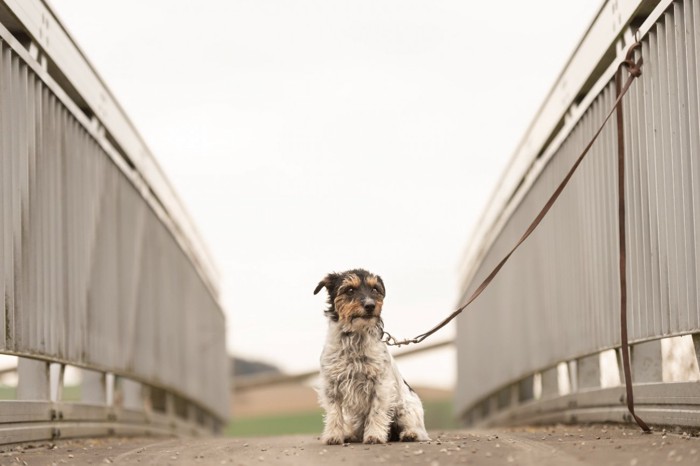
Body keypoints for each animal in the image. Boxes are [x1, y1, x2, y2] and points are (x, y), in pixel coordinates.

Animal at [314, 270, 430, 444]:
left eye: (375, 289)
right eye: (350, 290)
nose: (370, 305)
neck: (354, 339)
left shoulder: (381, 385)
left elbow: (376, 412)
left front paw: (374, 435)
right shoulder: (331, 385)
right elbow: (335, 413)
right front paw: (334, 436)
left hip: (405, 409)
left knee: (418, 430)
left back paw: (410, 434)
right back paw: (350, 435)